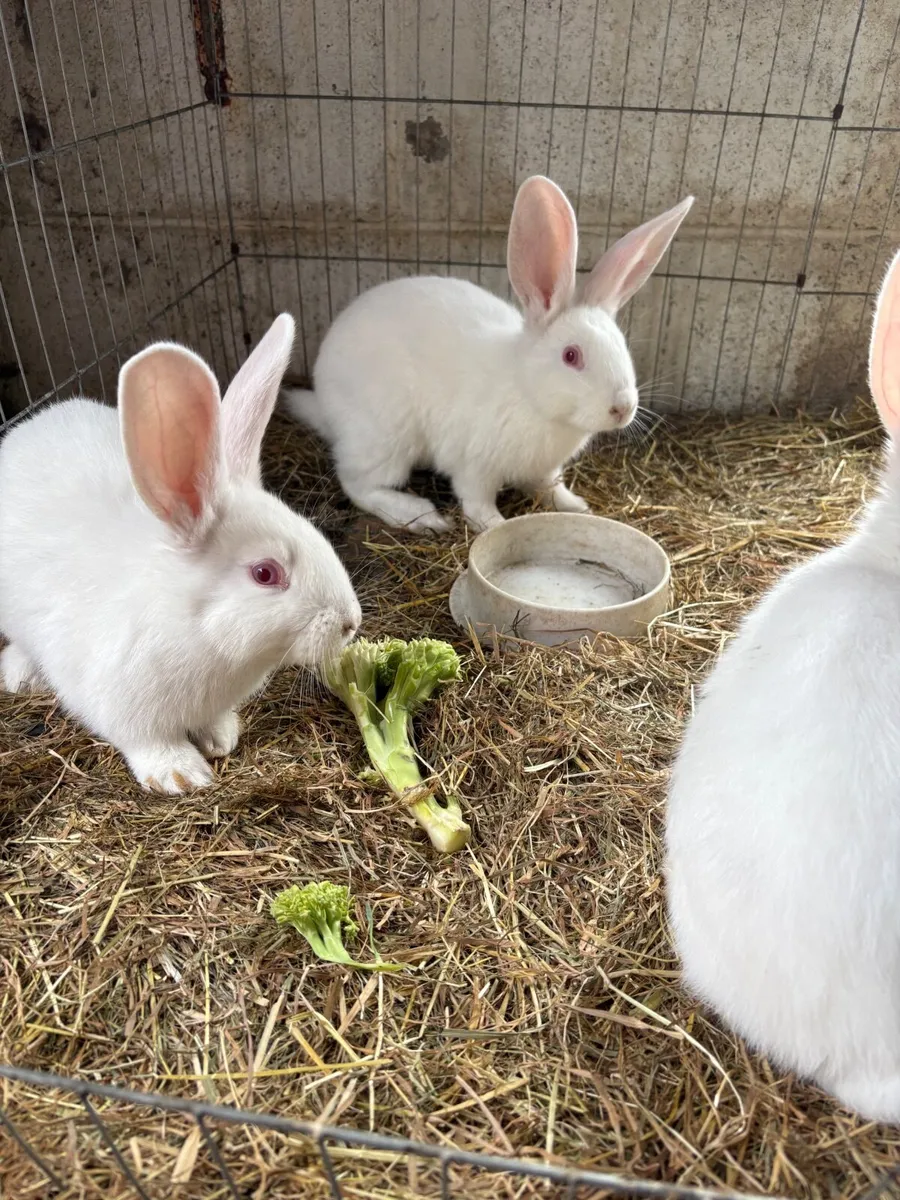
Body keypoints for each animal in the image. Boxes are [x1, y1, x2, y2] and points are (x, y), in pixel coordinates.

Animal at [0, 314, 361, 796]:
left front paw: (221, 739)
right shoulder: (124, 708)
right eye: (265, 573)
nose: (351, 623)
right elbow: (148, 742)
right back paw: (21, 675)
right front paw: (182, 775)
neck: (200, 633)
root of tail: (30, 425)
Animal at [283, 176, 693, 533]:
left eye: (622, 346)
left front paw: (577, 506)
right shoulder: (474, 464)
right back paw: (420, 516)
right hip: (386, 438)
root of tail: (323, 401)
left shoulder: (546, 470)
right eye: (571, 356)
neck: (531, 397)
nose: (622, 408)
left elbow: (552, 488)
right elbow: (477, 501)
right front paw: (494, 525)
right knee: (357, 483)